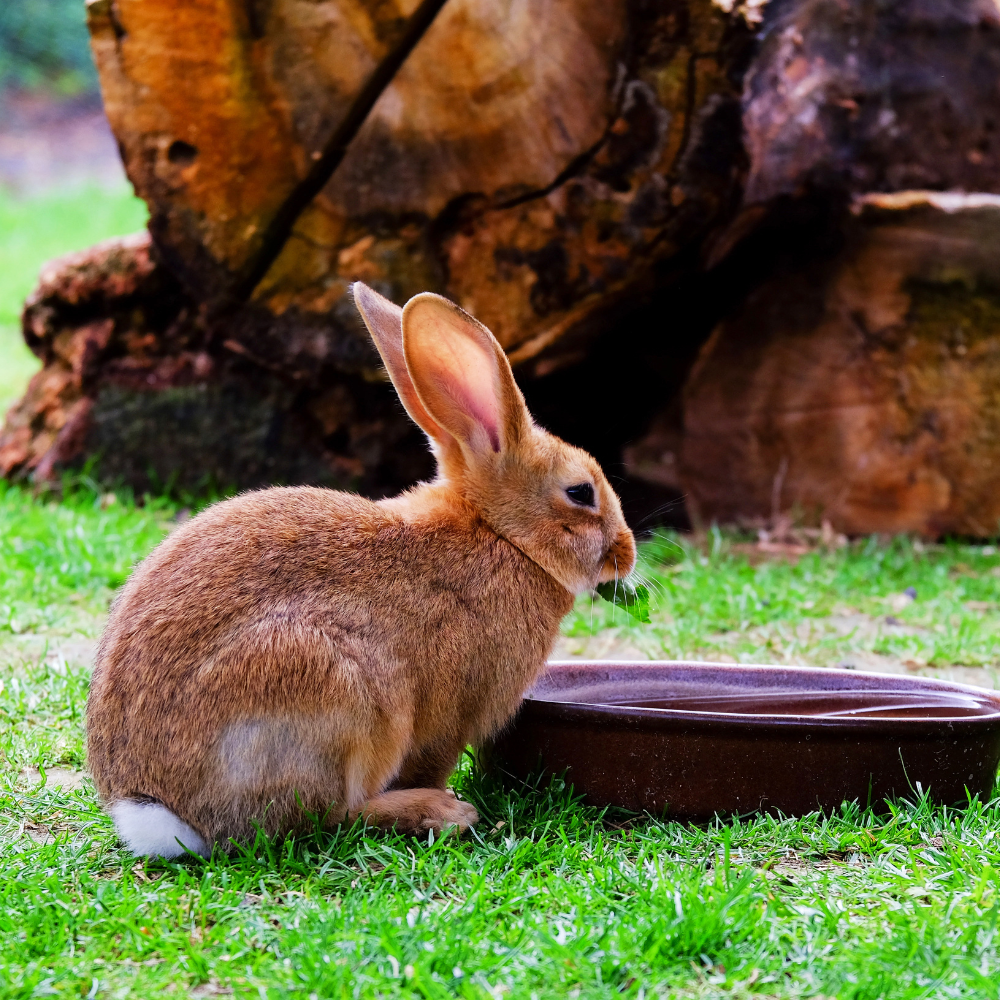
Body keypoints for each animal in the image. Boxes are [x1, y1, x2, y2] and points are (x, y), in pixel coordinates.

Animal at [84, 284, 632, 860]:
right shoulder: (453, 714)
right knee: (327, 816)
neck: (499, 535)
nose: (626, 553)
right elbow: (433, 759)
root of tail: (160, 812)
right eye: (580, 492)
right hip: (347, 697)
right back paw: (440, 812)